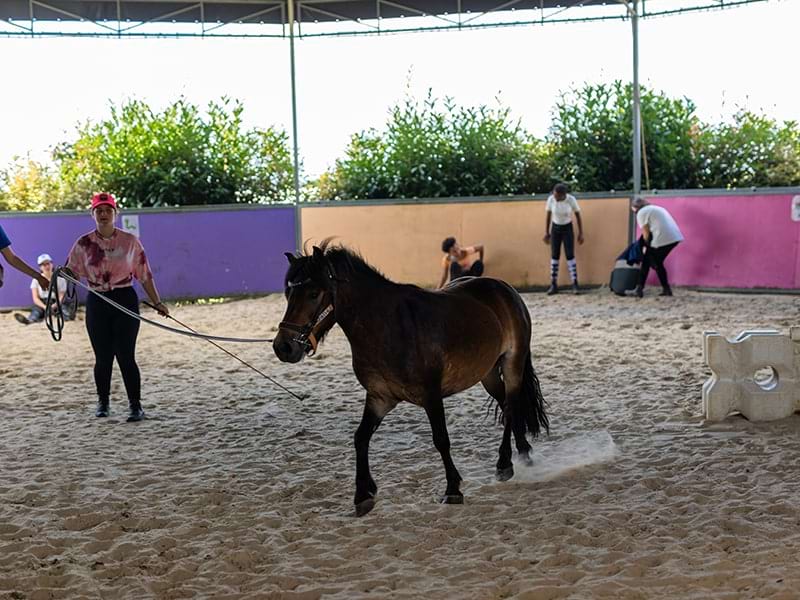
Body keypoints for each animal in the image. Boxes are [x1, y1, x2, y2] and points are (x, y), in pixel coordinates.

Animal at [272, 244, 548, 516]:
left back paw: (504, 464)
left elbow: (441, 439)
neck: (388, 327)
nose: (283, 347)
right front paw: (363, 494)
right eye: (289, 293)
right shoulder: (380, 398)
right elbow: (361, 438)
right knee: (508, 405)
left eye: (314, 293)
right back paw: (524, 453)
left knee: (511, 407)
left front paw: (453, 489)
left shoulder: (431, 395)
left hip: (512, 364)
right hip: (488, 373)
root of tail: (504, 288)